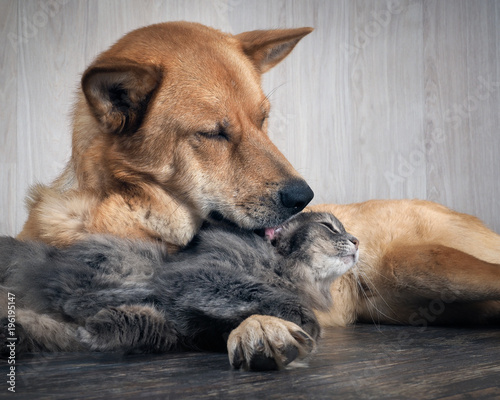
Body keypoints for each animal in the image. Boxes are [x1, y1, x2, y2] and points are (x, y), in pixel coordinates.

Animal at [0, 211, 360, 370]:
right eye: (329, 227)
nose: (357, 240)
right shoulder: (198, 275)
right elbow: (262, 293)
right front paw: (307, 323)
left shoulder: (192, 331)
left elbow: (148, 324)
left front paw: (101, 327)